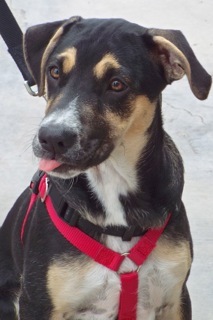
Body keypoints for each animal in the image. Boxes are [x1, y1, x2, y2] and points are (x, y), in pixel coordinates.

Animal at [0, 15, 211, 320]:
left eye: (117, 84)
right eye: (54, 71)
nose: (51, 138)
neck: (113, 183)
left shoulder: (176, 298)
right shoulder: (37, 303)